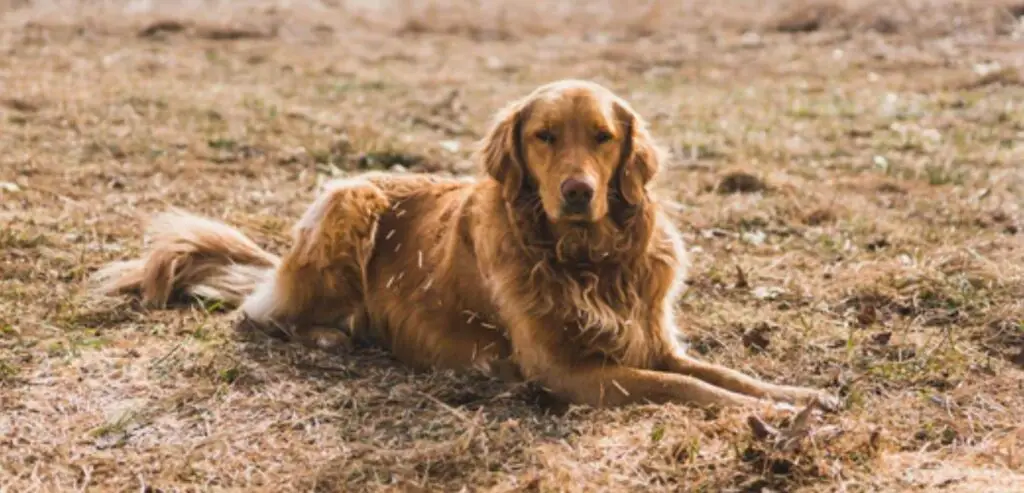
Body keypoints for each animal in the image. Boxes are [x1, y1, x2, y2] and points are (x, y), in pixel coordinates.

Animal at [92, 79, 839, 412]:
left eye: (603, 137)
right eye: (544, 136)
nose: (576, 192)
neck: (587, 257)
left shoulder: (651, 338)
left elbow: (721, 373)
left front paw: (799, 394)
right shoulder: (568, 371)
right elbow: (689, 388)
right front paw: (770, 414)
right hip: (347, 202)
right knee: (261, 316)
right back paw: (331, 335)